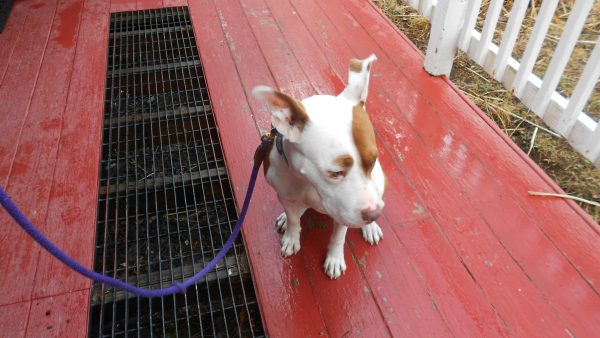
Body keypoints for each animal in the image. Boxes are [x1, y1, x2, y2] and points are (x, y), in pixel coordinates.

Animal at [252, 54, 384, 278]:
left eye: (373, 160)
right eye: (335, 172)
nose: (374, 213)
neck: (307, 181)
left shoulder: (343, 211)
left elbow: (338, 236)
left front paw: (334, 259)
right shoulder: (284, 194)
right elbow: (293, 219)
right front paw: (291, 236)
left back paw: (371, 228)